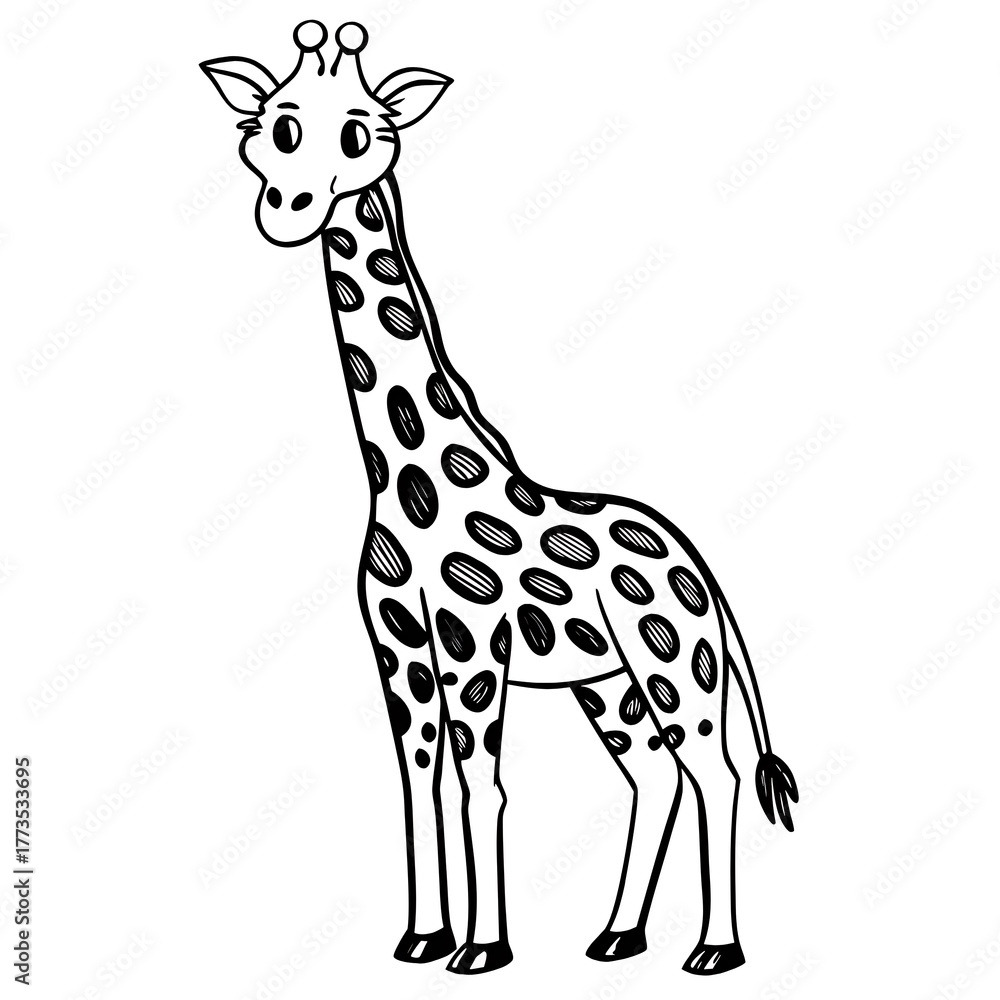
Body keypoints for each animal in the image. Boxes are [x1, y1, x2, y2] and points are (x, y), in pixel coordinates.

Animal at [201, 20, 798, 977]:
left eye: (362, 133)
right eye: (275, 125)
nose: (287, 208)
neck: (404, 478)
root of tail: (697, 566)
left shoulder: (473, 643)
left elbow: (482, 786)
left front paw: (482, 948)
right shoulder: (400, 650)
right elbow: (422, 785)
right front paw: (422, 937)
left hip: (675, 665)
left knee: (716, 773)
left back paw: (715, 949)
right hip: (610, 684)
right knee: (653, 776)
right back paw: (617, 935)